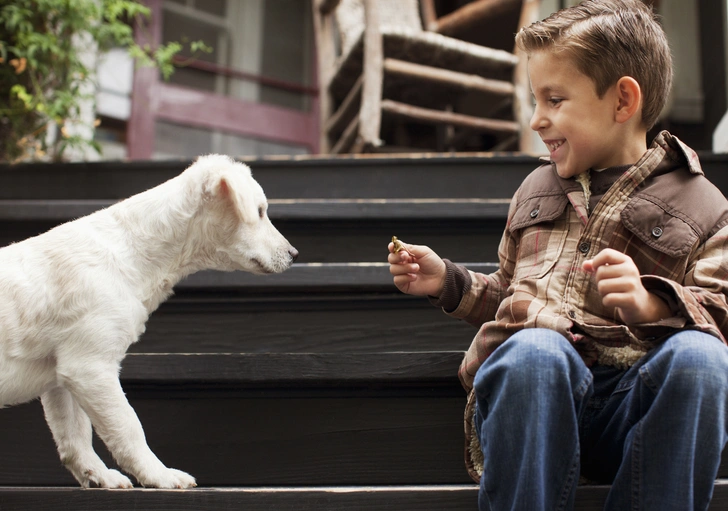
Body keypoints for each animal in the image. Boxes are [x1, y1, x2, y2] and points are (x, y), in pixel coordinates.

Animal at [0, 154, 298, 490]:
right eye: (259, 212)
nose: (294, 254)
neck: (133, 254)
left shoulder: (61, 375)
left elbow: (75, 436)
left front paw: (100, 476)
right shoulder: (89, 366)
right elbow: (128, 426)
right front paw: (160, 475)